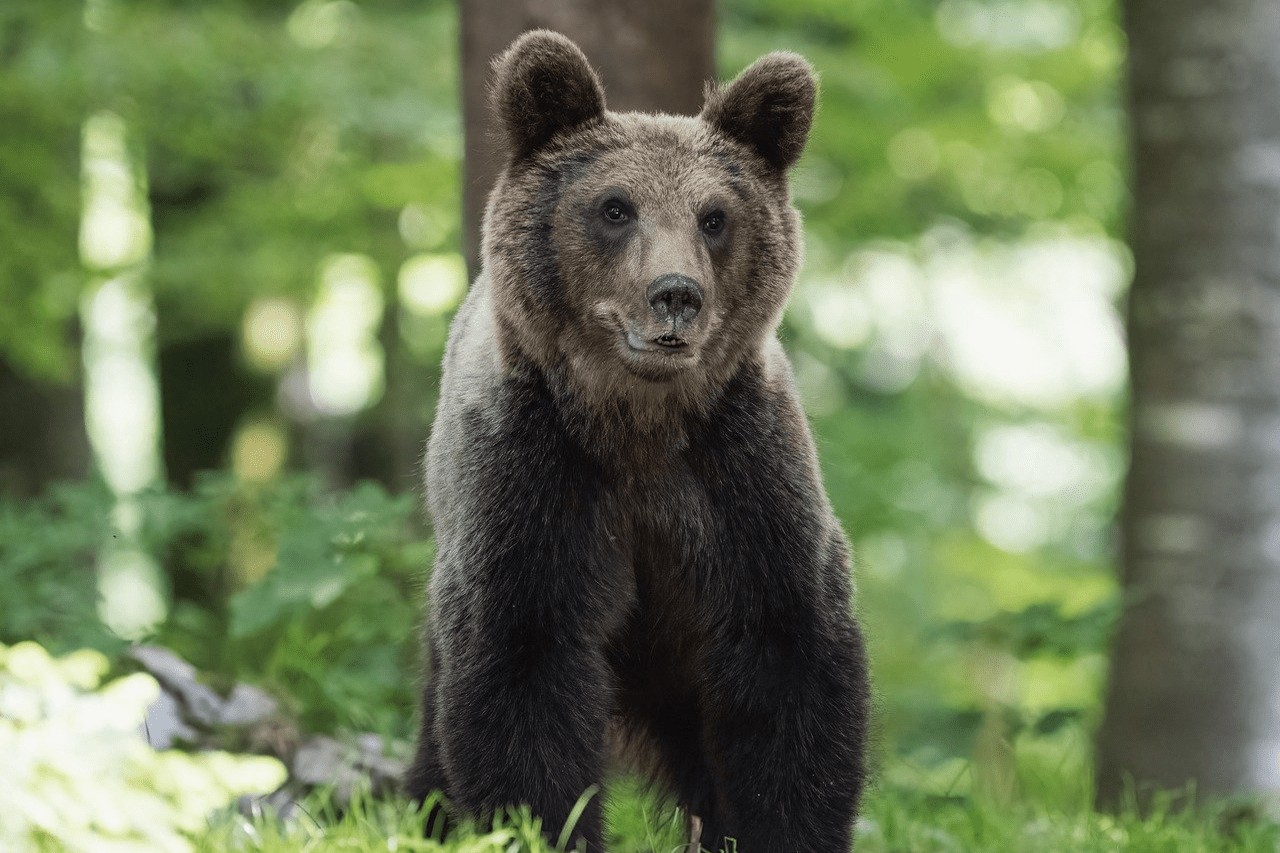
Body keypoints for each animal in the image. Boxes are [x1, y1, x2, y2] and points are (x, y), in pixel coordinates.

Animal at [405, 30, 870, 853]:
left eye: (714, 215)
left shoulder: (742, 480)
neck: (639, 424)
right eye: (615, 207)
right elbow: (524, 667)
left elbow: (790, 658)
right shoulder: (534, 480)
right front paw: (544, 823)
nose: (676, 294)